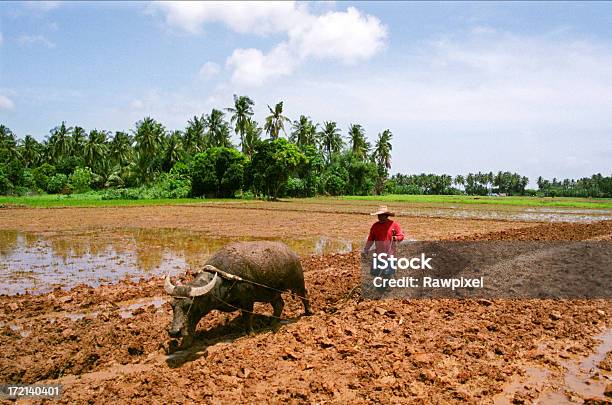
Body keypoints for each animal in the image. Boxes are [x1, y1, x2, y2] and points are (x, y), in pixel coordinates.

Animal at [164, 240, 310, 348]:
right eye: (172, 305)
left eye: (189, 305)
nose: (174, 332)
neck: (222, 281)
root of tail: (291, 253)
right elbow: (191, 324)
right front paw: (186, 343)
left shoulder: (247, 301)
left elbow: (247, 317)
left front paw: (250, 333)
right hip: (272, 293)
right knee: (279, 304)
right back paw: (273, 323)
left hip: (298, 282)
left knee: (304, 295)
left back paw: (308, 313)